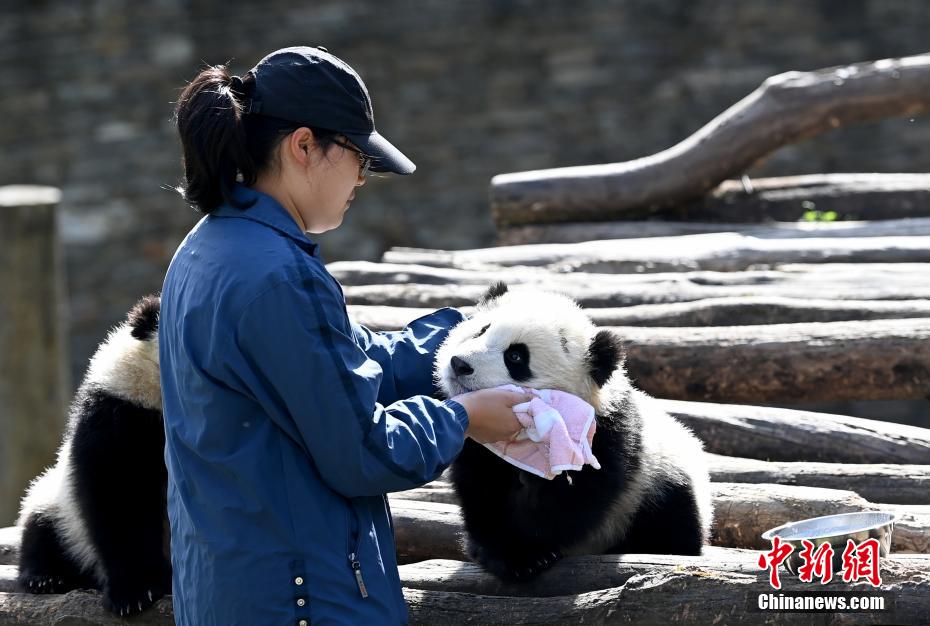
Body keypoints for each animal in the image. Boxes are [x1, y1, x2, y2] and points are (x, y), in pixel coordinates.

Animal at [17, 294, 168, 616]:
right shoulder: (120, 412)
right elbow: (119, 501)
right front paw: (133, 593)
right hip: (58, 506)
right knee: (41, 529)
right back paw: (44, 578)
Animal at [436, 282, 712, 580]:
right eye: (481, 330)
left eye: (516, 356)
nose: (459, 364)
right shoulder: (478, 446)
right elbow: (482, 490)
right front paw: (504, 553)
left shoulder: (605, 438)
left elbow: (573, 503)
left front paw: (527, 555)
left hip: (656, 483)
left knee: (671, 520)